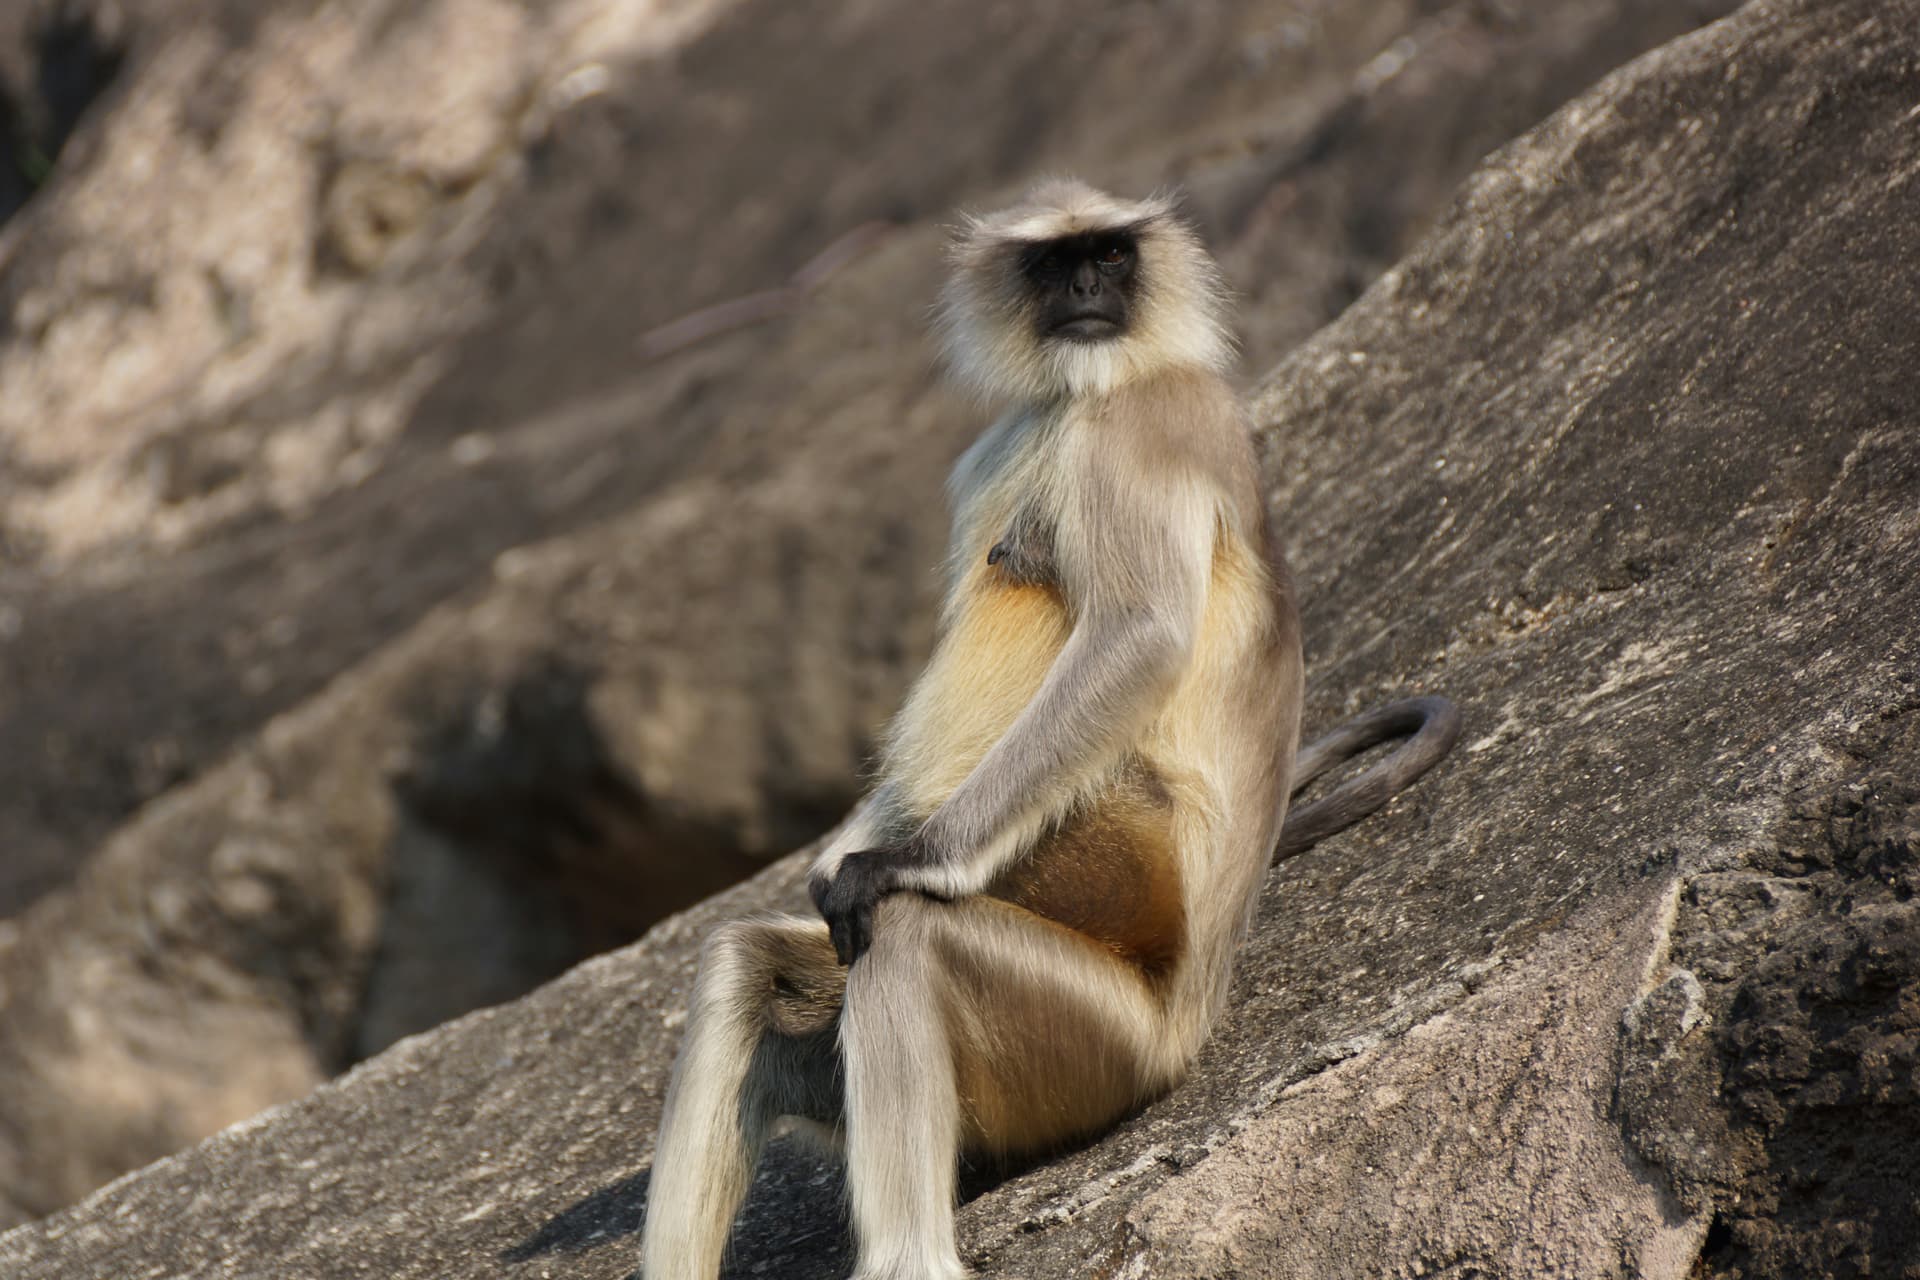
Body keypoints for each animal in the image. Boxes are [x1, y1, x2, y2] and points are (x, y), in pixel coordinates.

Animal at [640, 178, 1459, 1280]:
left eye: (1108, 255)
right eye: (1050, 263)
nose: (1081, 291)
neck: (1084, 394)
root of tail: (1192, 1019)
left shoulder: (1147, 420)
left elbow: (1139, 634)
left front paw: (901, 857)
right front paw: (835, 854)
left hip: (1105, 1036)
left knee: (906, 932)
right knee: (747, 962)